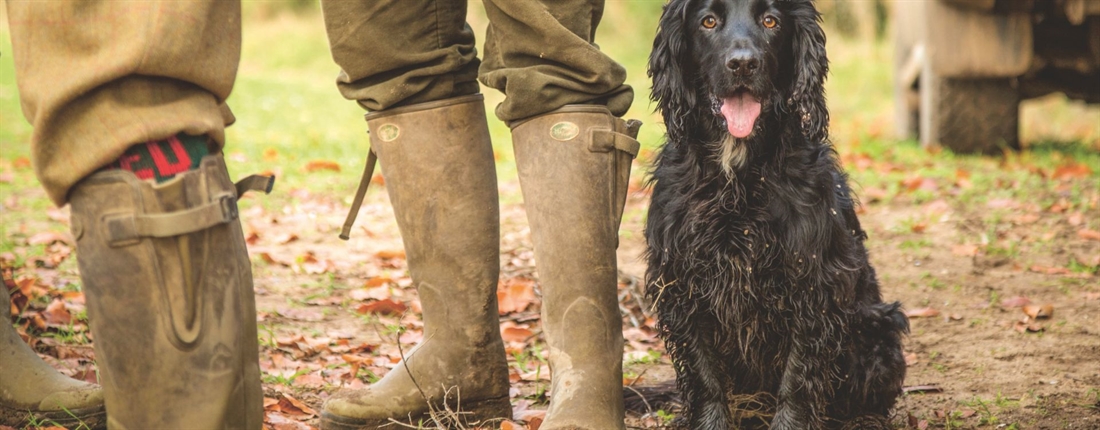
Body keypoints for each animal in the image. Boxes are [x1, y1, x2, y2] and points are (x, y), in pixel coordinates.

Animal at [642, 0, 910, 430]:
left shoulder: (812, 284)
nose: (742, 64)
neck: (738, 173)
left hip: (879, 325)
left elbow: (797, 381)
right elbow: (705, 377)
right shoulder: (682, 282)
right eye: (708, 21)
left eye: (771, 21)